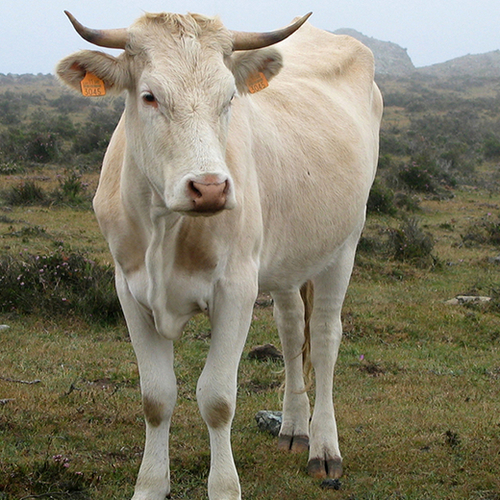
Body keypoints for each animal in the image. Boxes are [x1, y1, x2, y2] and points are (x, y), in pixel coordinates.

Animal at [55, 8, 382, 500]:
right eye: (149, 96)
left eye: (229, 98)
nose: (209, 188)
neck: (165, 227)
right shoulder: (129, 290)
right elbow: (156, 397)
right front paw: (150, 485)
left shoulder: (236, 290)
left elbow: (217, 399)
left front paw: (225, 487)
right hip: (287, 261)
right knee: (292, 330)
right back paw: (293, 428)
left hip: (343, 245)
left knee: (324, 338)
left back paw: (324, 448)